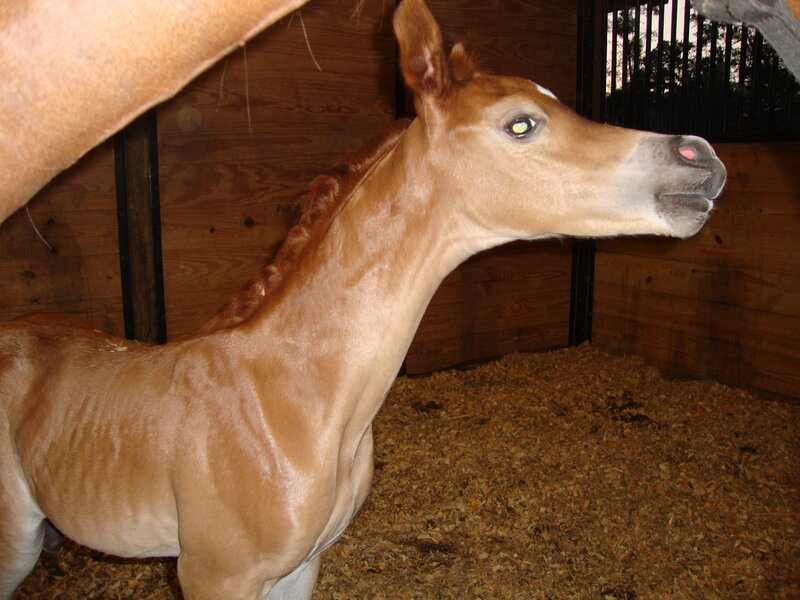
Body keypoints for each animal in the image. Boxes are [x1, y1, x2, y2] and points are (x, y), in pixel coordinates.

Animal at [0, 0, 726, 598]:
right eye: (521, 125)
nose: (700, 157)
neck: (294, 402)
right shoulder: (212, 576)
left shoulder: (300, 568)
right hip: (13, 543)